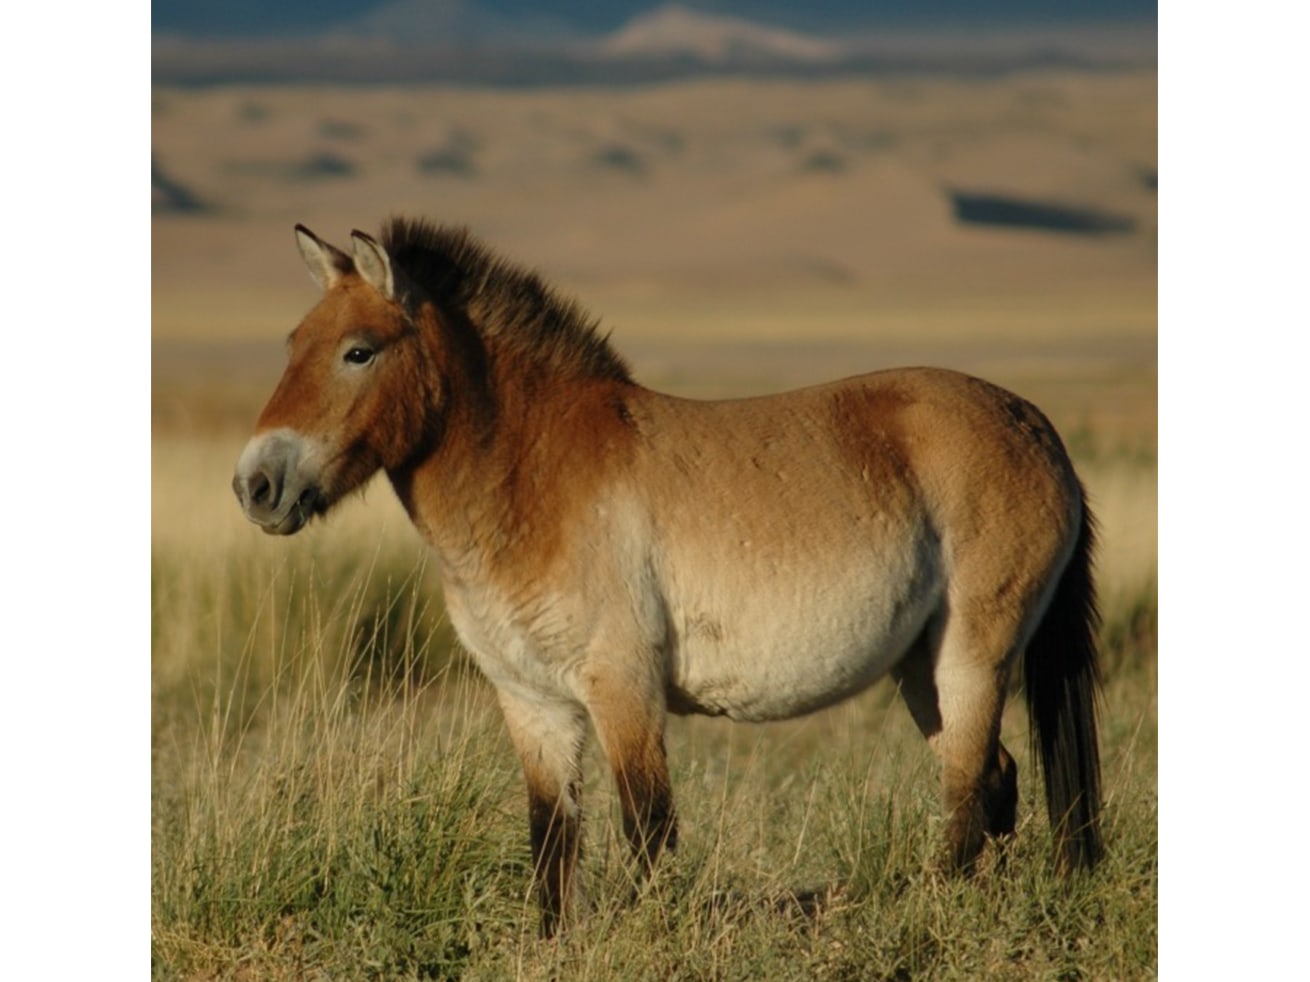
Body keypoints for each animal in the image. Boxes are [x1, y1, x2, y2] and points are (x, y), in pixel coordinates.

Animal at [233, 216, 1103, 936]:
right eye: (291, 343)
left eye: (359, 351)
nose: (256, 486)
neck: (533, 477)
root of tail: (1034, 426)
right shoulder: (532, 701)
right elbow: (552, 839)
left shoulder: (623, 687)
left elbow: (647, 828)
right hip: (920, 667)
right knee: (994, 779)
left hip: (972, 656)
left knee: (968, 792)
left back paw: (938, 914)